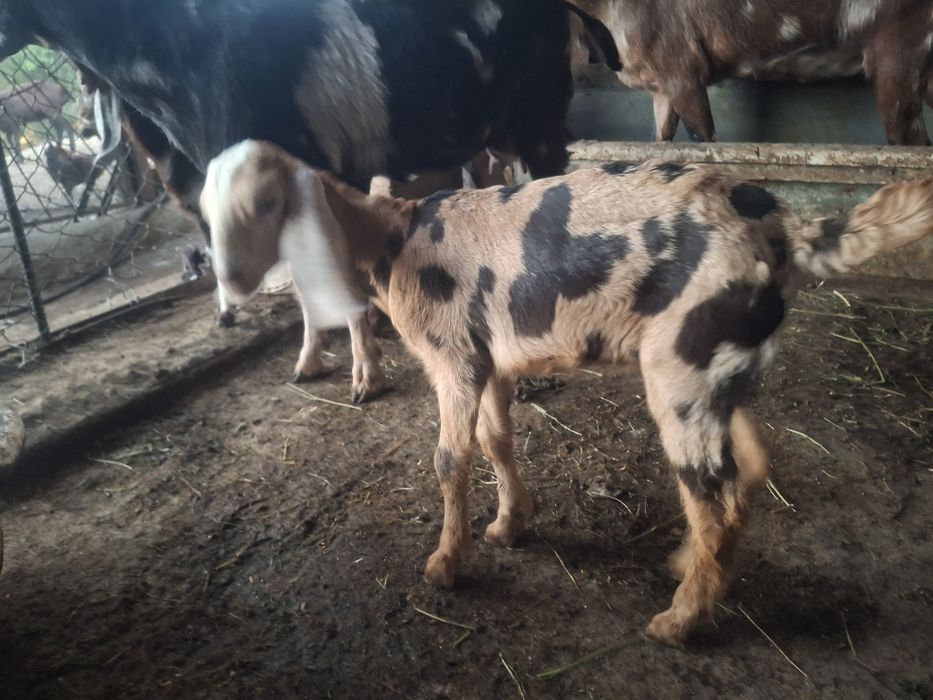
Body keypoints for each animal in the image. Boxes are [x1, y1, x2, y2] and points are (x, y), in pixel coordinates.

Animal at [202, 139, 933, 645]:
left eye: (267, 203)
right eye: (203, 211)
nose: (230, 281)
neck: (390, 239)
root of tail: (786, 231)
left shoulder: (453, 356)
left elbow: (450, 459)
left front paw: (444, 565)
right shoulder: (491, 357)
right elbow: (497, 440)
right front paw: (508, 526)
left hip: (684, 364)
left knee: (715, 494)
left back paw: (677, 623)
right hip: (715, 362)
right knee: (749, 465)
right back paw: (687, 565)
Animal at [569, 0, 933, 144]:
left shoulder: (682, 67)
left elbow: (703, 137)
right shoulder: (660, 83)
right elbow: (661, 139)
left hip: (900, 46)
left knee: (909, 140)